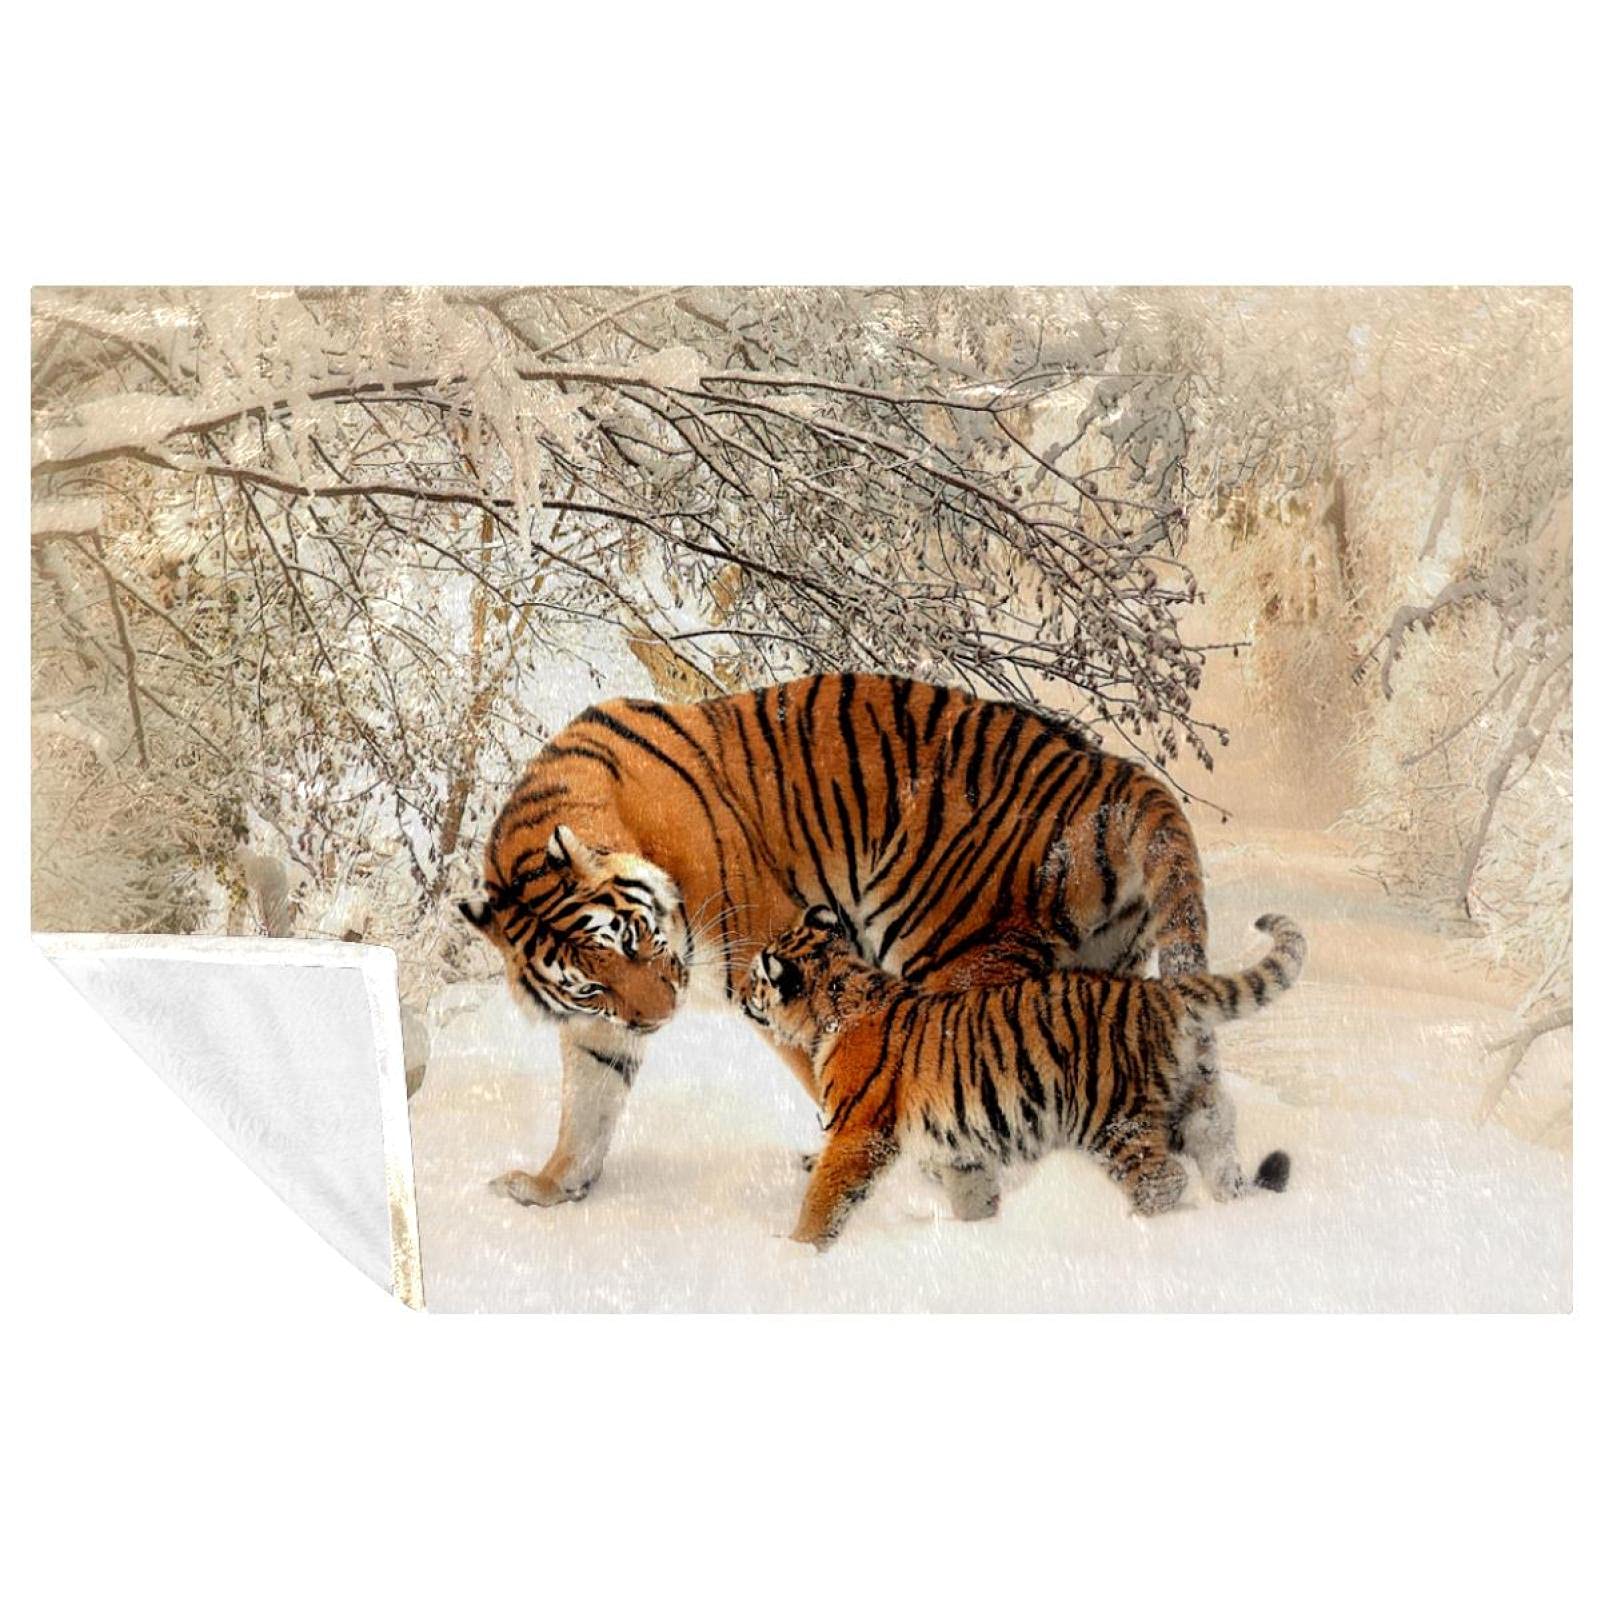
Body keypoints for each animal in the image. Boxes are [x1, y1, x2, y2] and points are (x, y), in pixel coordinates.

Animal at [461, 673, 1214, 1209]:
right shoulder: (601, 1025)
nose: (660, 1017)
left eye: (635, 939)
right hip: (1100, 968)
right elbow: (588, 1104)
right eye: (590, 984)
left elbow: (829, 1074)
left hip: (953, 951)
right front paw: (551, 1187)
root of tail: (1114, 773)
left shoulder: (771, 958)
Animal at [740, 905, 1304, 1251]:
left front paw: (797, 1251)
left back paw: (1134, 1228)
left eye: (755, 978)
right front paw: (980, 1234)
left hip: (1111, 1118)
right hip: (1196, 1106)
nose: (742, 993)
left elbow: (825, 1197)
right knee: (1219, 1156)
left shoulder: (858, 1134)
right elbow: (973, 1195)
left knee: (1163, 1180)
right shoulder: (959, 1148)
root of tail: (1161, 991)